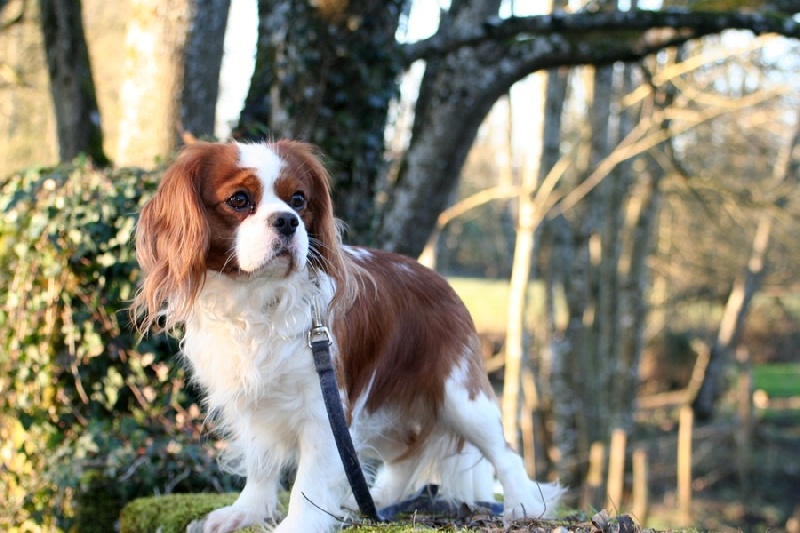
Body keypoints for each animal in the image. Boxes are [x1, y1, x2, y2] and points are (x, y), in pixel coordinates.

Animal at [134, 141, 564, 532]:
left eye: (299, 200)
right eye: (239, 200)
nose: (288, 221)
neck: (257, 298)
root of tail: (440, 280)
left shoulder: (325, 407)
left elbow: (308, 483)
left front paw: (297, 525)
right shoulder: (252, 401)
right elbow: (261, 461)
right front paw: (247, 511)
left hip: (460, 394)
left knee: (504, 451)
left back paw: (524, 504)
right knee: (405, 456)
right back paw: (376, 501)